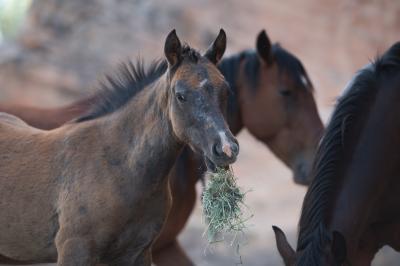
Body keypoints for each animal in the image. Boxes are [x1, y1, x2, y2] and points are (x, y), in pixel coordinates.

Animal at [0, 29, 322, 264]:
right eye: (180, 95)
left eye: (226, 91)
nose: (226, 149)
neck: (117, 169)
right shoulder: (75, 251)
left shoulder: (141, 252)